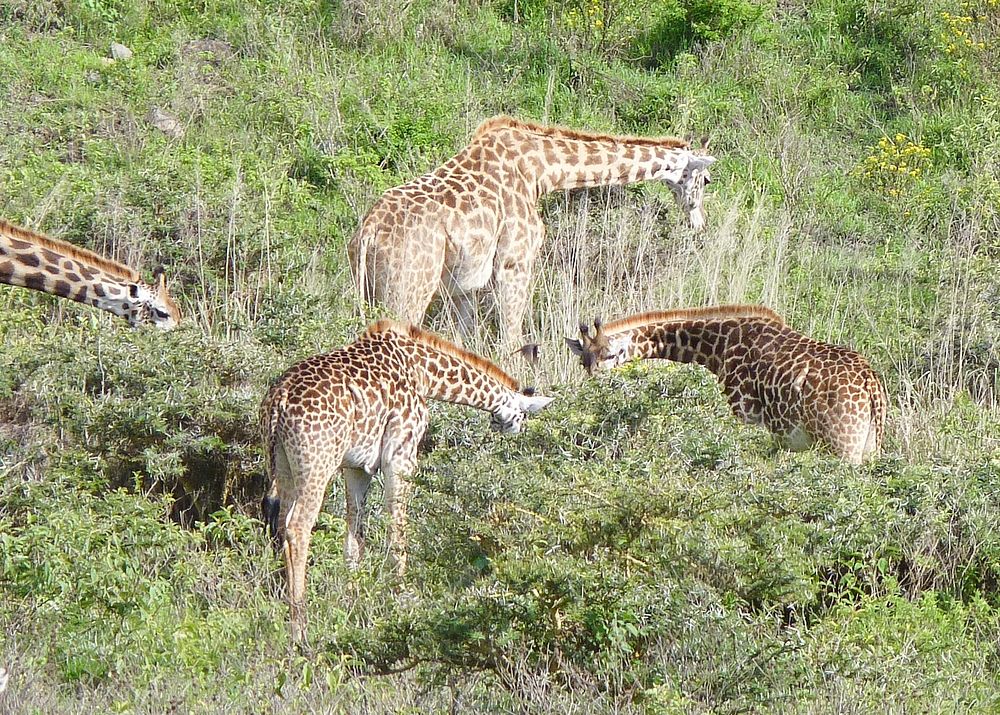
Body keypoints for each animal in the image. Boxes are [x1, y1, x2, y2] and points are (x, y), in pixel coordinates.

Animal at [258, 318, 556, 644]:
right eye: (522, 416)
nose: (513, 430)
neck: (423, 371)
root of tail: (280, 399)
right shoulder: (400, 454)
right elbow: (397, 531)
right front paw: (401, 601)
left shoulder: (356, 467)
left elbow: (354, 538)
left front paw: (353, 604)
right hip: (318, 464)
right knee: (298, 527)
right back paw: (300, 630)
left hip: (283, 464)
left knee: (282, 524)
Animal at [348, 116, 716, 348]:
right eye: (707, 180)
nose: (700, 223)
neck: (541, 170)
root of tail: (369, 232)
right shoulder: (515, 263)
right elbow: (512, 338)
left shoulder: (466, 284)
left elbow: (466, 342)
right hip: (407, 292)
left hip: (369, 291)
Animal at [568, 304, 888, 464]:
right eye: (584, 362)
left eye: (611, 355)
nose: (594, 388)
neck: (720, 346)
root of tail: (871, 385)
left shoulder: (745, 415)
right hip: (869, 447)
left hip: (842, 447)